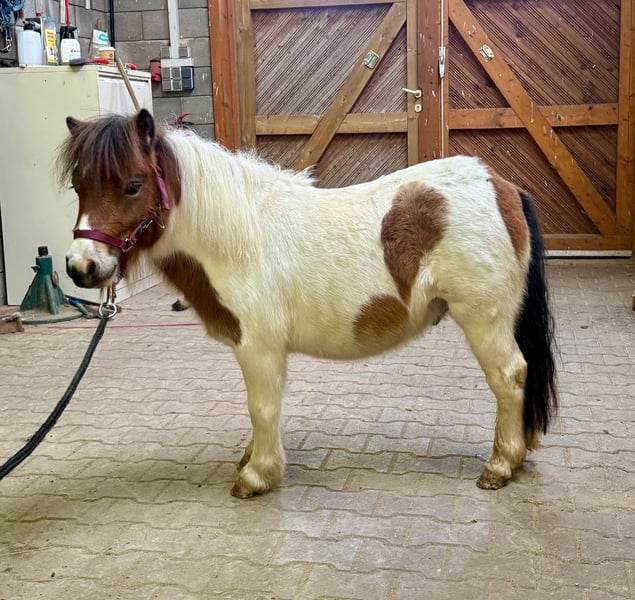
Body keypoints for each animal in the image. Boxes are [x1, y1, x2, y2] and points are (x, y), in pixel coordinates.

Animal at [60, 109, 558, 498]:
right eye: (78, 186)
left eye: (132, 186)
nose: (81, 267)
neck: (239, 236)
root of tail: (501, 186)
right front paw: (251, 459)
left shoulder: (258, 348)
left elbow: (261, 407)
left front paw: (257, 476)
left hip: (484, 320)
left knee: (510, 377)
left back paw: (499, 466)